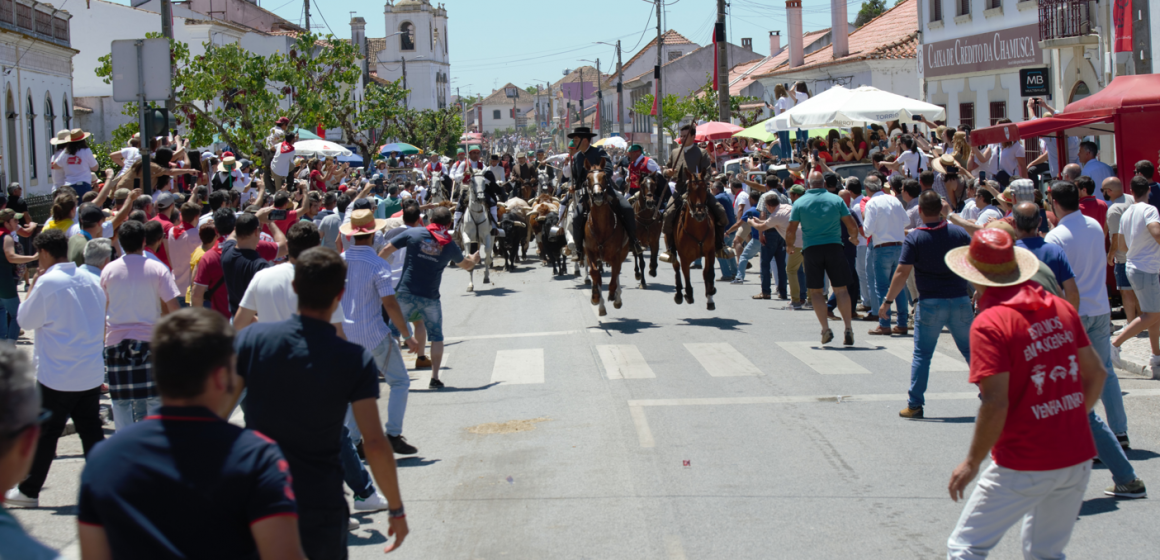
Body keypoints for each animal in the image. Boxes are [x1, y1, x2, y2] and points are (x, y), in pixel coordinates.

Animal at [584, 160, 631, 315]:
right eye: (587, 178)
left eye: (604, 176)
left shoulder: (616, 255)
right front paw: (596, 297)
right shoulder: (590, 252)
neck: (601, 228)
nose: (598, 195)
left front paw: (613, 295)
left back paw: (617, 297)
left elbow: (613, 278)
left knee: (616, 274)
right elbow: (594, 273)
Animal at [672, 170, 714, 310]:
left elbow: (708, 273)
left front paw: (710, 296)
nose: (699, 214)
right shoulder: (684, 257)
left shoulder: (710, 252)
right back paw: (679, 295)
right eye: (689, 190)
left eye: (706, 188)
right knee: (676, 267)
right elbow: (686, 275)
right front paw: (689, 295)